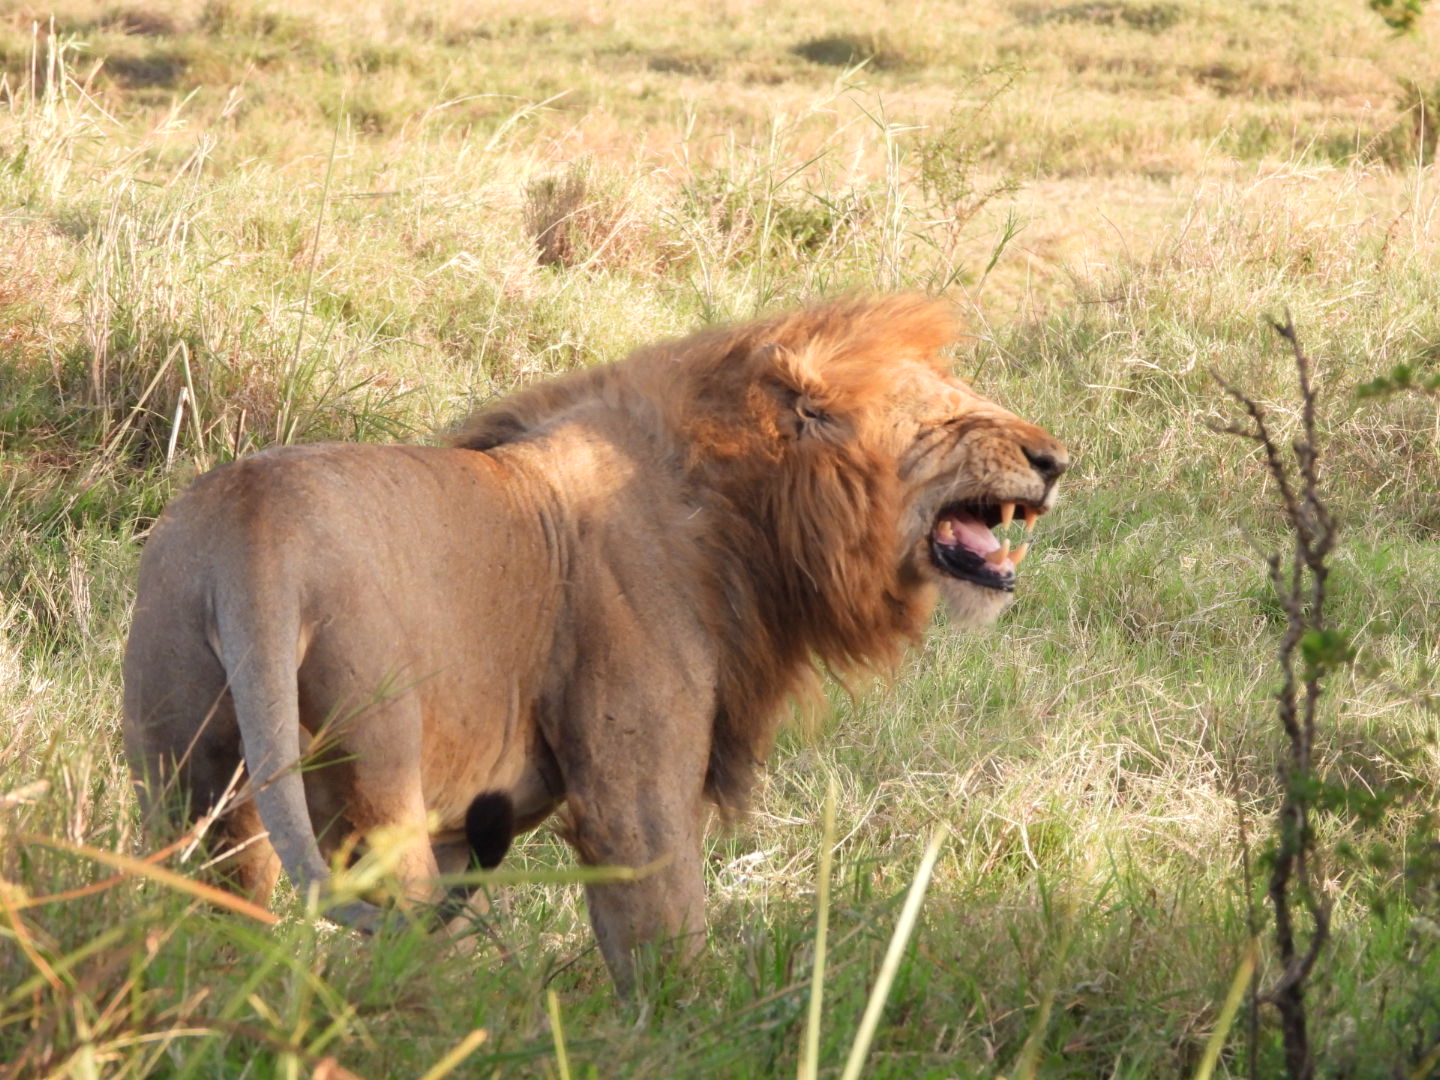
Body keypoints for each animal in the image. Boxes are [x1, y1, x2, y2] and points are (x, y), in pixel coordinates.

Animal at [123, 294, 1067, 988]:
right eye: (947, 415)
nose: (1054, 459)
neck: (743, 514)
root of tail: (253, 528)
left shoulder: (471, 823)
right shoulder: (630, 784)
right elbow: (662, 931)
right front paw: (688, 1036)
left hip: (189, 774)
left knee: (206, 895)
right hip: (375, 774)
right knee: (396, 932)